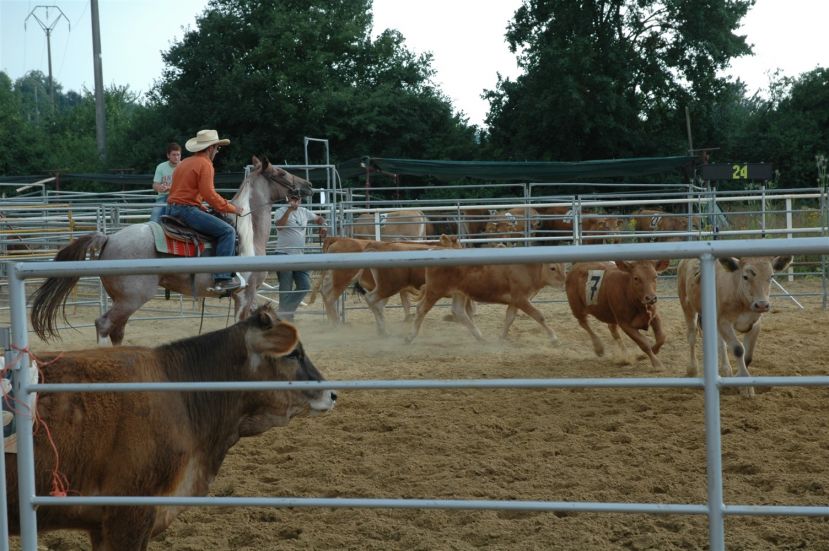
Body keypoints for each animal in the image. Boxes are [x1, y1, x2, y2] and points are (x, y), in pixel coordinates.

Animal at [30, 156, 314, 345]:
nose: (309, 185)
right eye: (282, 173)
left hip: (122, 299)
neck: (247, 232)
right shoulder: (246, 292)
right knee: (104, 325)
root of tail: (109, 239)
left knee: (117, 331)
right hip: (132, 298)